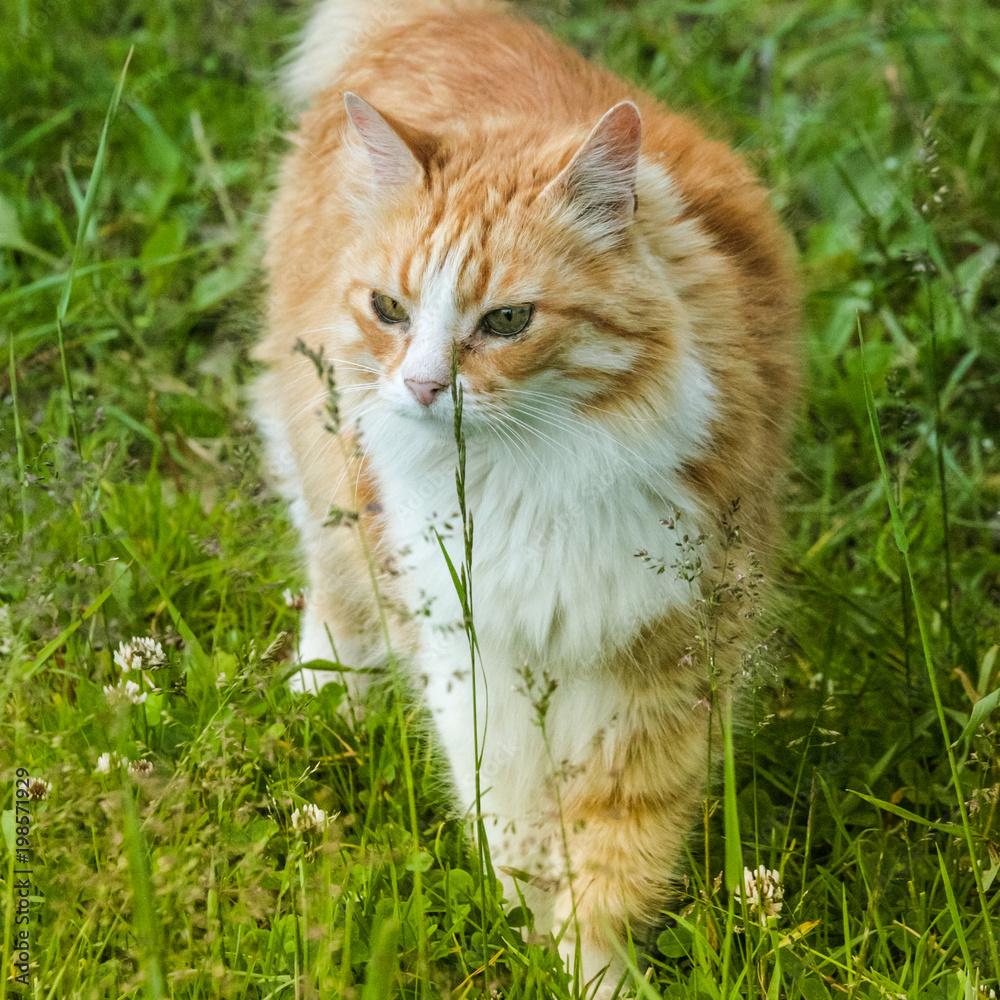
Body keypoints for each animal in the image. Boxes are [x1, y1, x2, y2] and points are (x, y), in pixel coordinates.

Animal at [254, 0, 800, 988]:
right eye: (390, 310)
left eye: (507, 321)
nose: (422, 385)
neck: (529, 477)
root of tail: (461, 19)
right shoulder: (473, 657)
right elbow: (511, 820)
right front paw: (530, 928)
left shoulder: (664, 661)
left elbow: (616, 850)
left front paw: (593, 969)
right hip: (324, 460)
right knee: (333, 579)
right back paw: (325, 697)